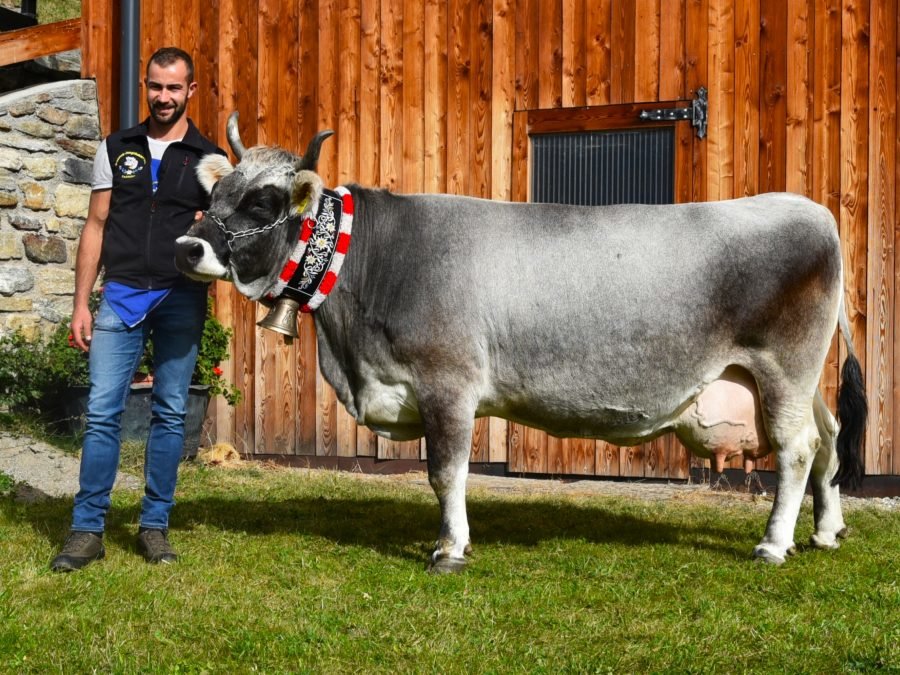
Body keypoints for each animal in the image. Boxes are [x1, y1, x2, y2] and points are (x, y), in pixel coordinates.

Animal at [174, 116, 864, 572]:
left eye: (263, 201)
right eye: (216, 194)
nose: (188, 246)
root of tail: (811, 210)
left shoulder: (448, 384)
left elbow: (445, 472)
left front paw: (450, 548)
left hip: (783, 369)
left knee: (797, 451)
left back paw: (773, 544)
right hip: (794, 379)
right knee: (828, 440)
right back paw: (825, 531)